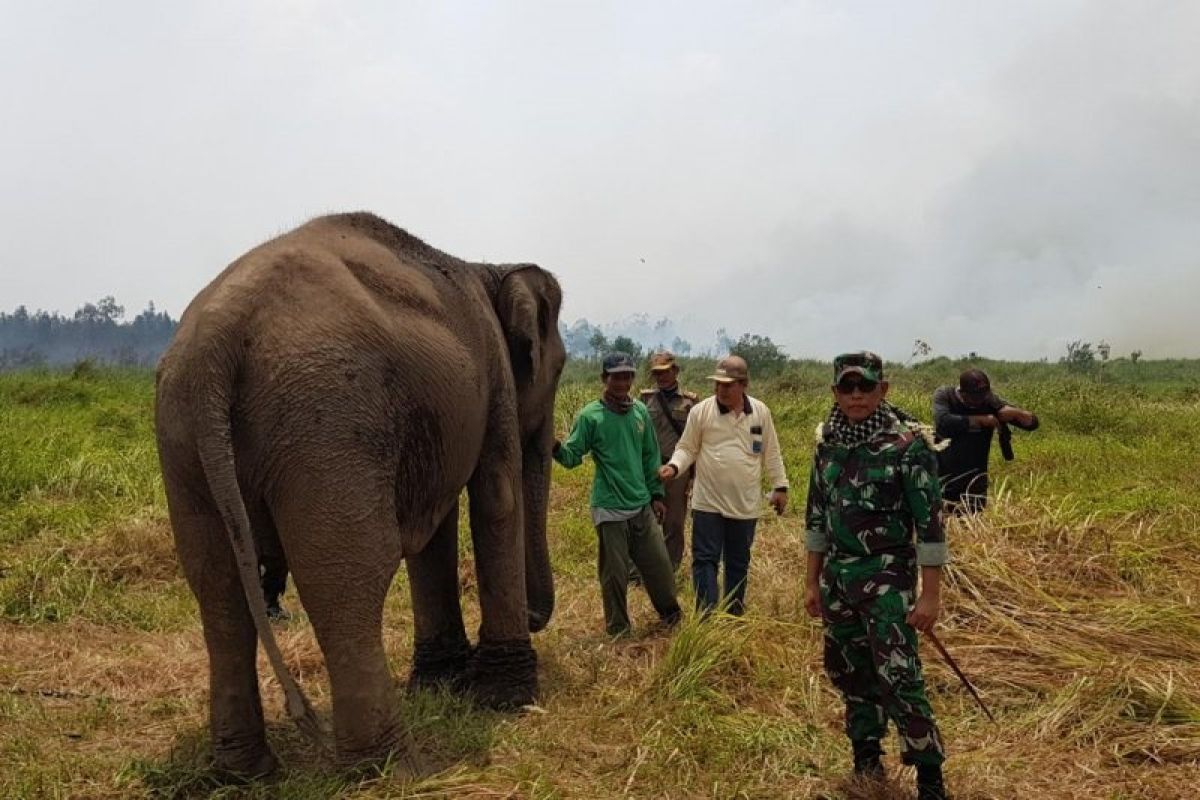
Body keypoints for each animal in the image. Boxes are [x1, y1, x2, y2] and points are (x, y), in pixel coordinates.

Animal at [156, 211, 566, 777]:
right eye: (561, 368)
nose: (536, 616)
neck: (487, 268)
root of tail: (218, 335)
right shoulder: (495, 376)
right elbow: (495, 497)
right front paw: (507, 700)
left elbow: (433, 533)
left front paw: (441, 684)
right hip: (327, 421)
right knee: (344, 577)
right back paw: (390, 767)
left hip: (184, 441)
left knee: (217, 588)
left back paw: (244, 771)